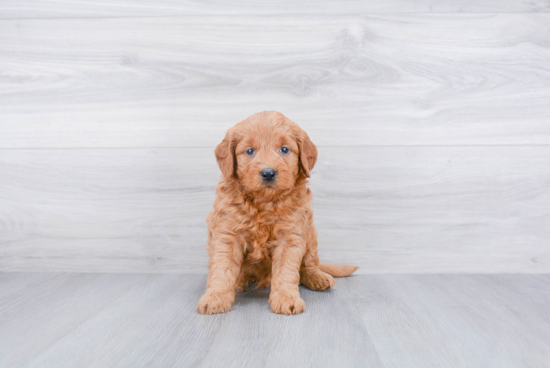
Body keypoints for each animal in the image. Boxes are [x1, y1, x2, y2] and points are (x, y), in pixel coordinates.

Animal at [197, 110, 358, 314]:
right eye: (250, 151)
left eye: (284, 149)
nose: (268, 173)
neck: (265, 203)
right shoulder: (227, 235)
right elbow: (222, 270)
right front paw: (215, 297)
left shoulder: (290, 237)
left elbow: (286, 272)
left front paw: (286, 298)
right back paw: (246, 280)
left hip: (310, 235)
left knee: (309, 264)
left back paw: (317, 277)